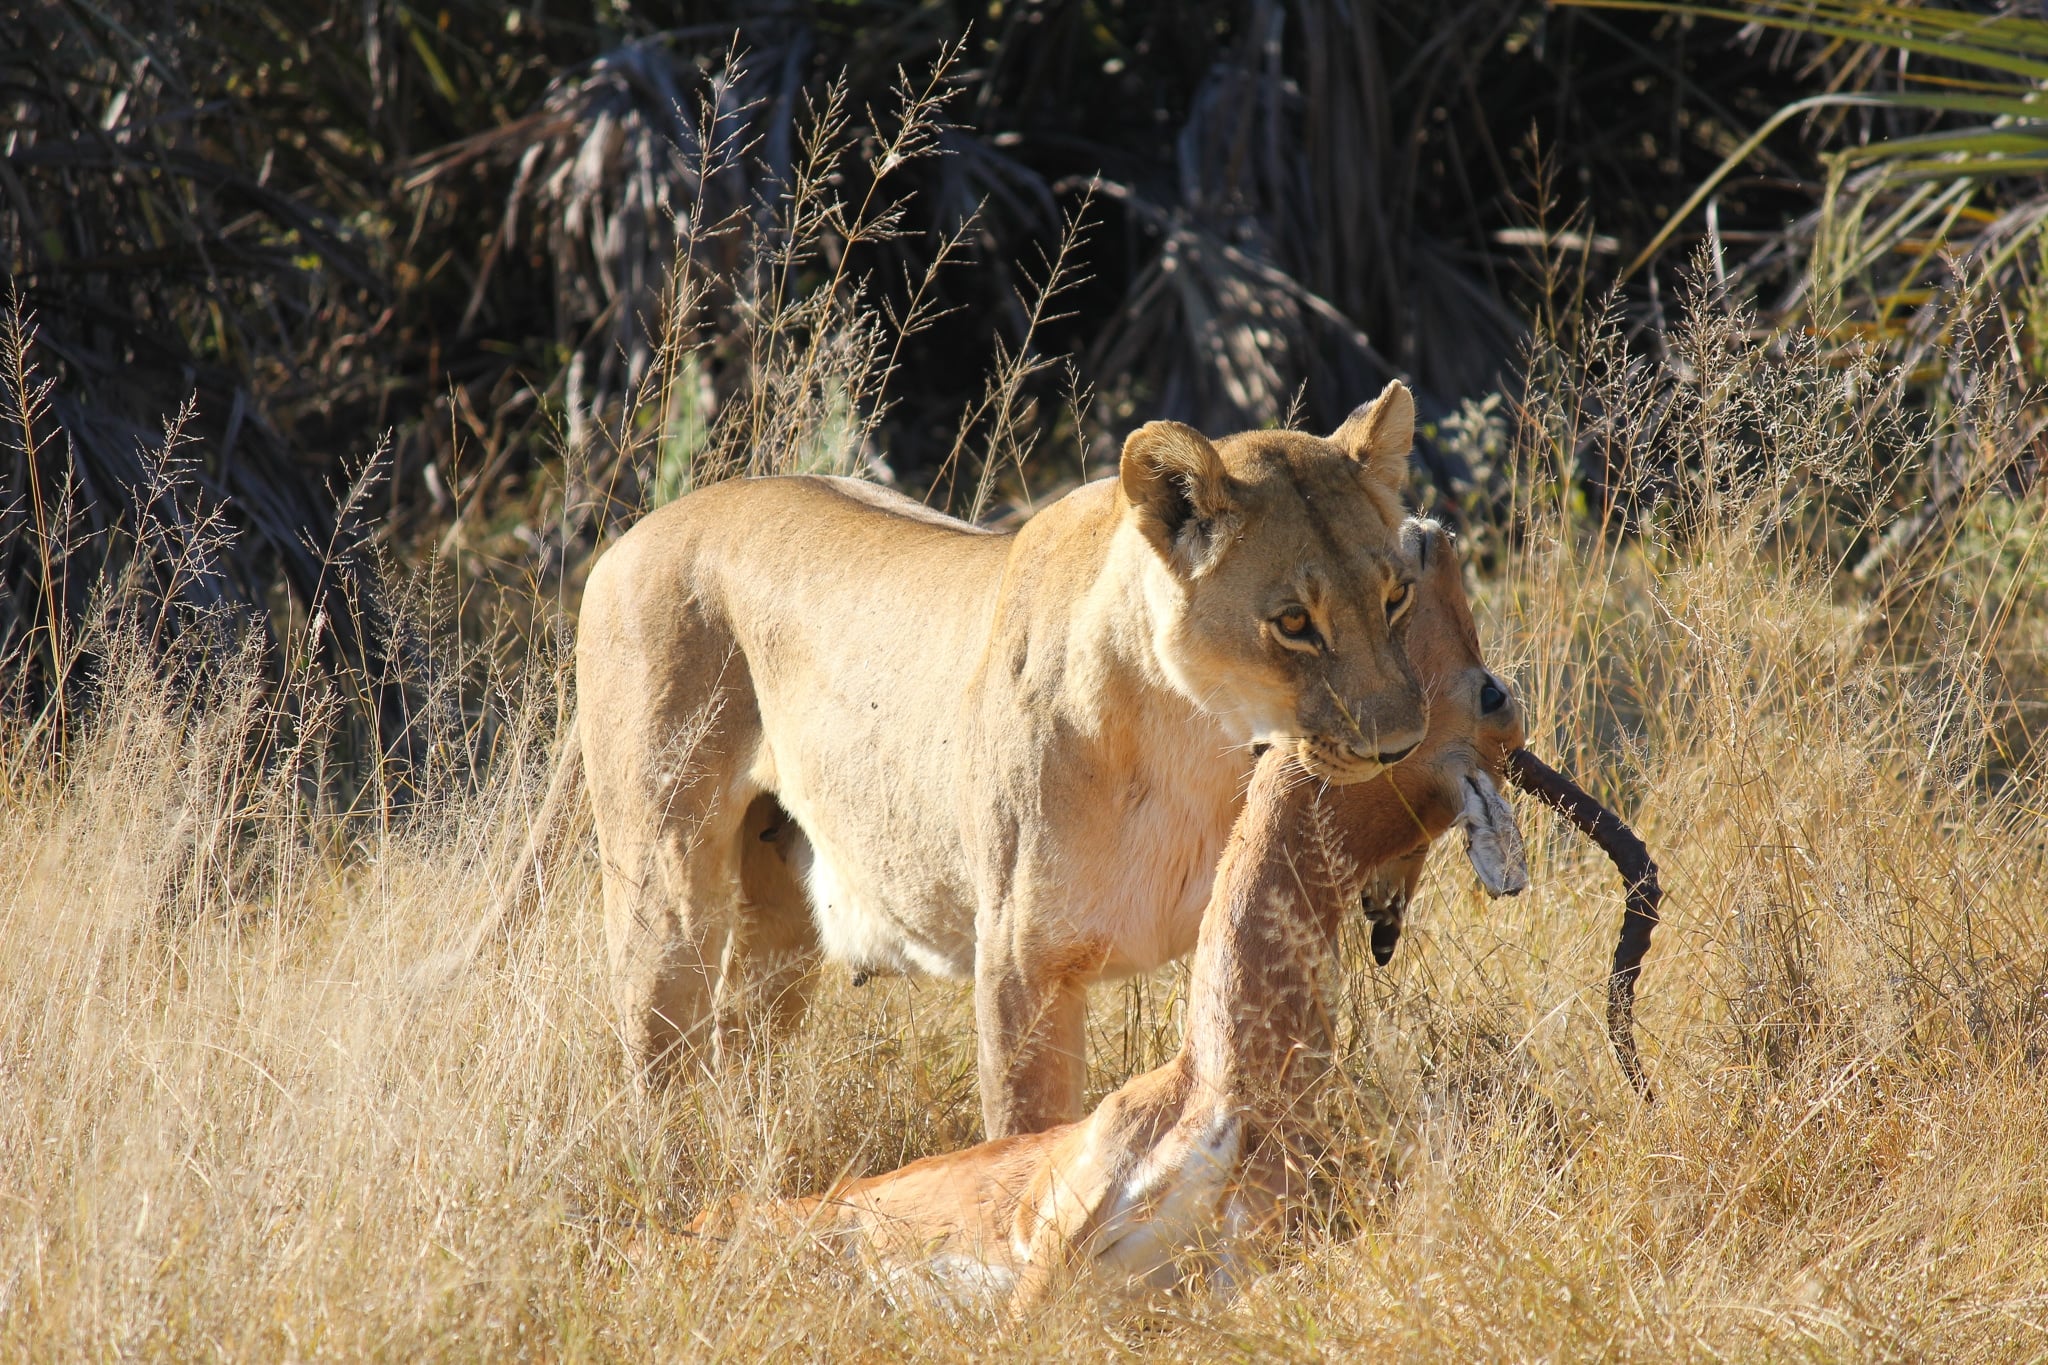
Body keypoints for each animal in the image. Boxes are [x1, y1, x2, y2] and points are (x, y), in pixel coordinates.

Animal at [575, 382, 1429, 1137]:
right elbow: (1024, 1122)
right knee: (656, 1052)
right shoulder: (1021, 957)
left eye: (1396, 597)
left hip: (779, 905)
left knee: (738, 1040)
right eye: (1294, 623)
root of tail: (635, 533)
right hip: (663, 887)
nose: (1401, 748)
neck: (1198, 741)